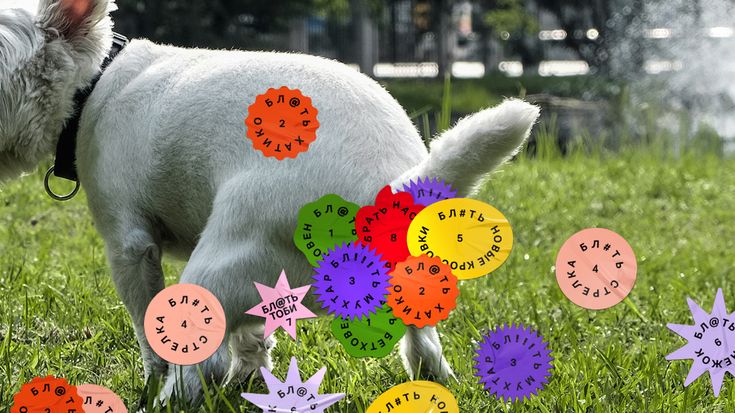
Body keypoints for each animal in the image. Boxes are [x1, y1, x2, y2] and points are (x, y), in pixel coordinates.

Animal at [0, 0, 540, 406]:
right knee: (424, 346)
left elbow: (149, 323)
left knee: (199, 359)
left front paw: (156, 377)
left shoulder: (128, 242)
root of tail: (384, 192)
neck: (94, 85)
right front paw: (252, 374)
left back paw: (168, 397)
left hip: (220, 264)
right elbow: (254, 336)